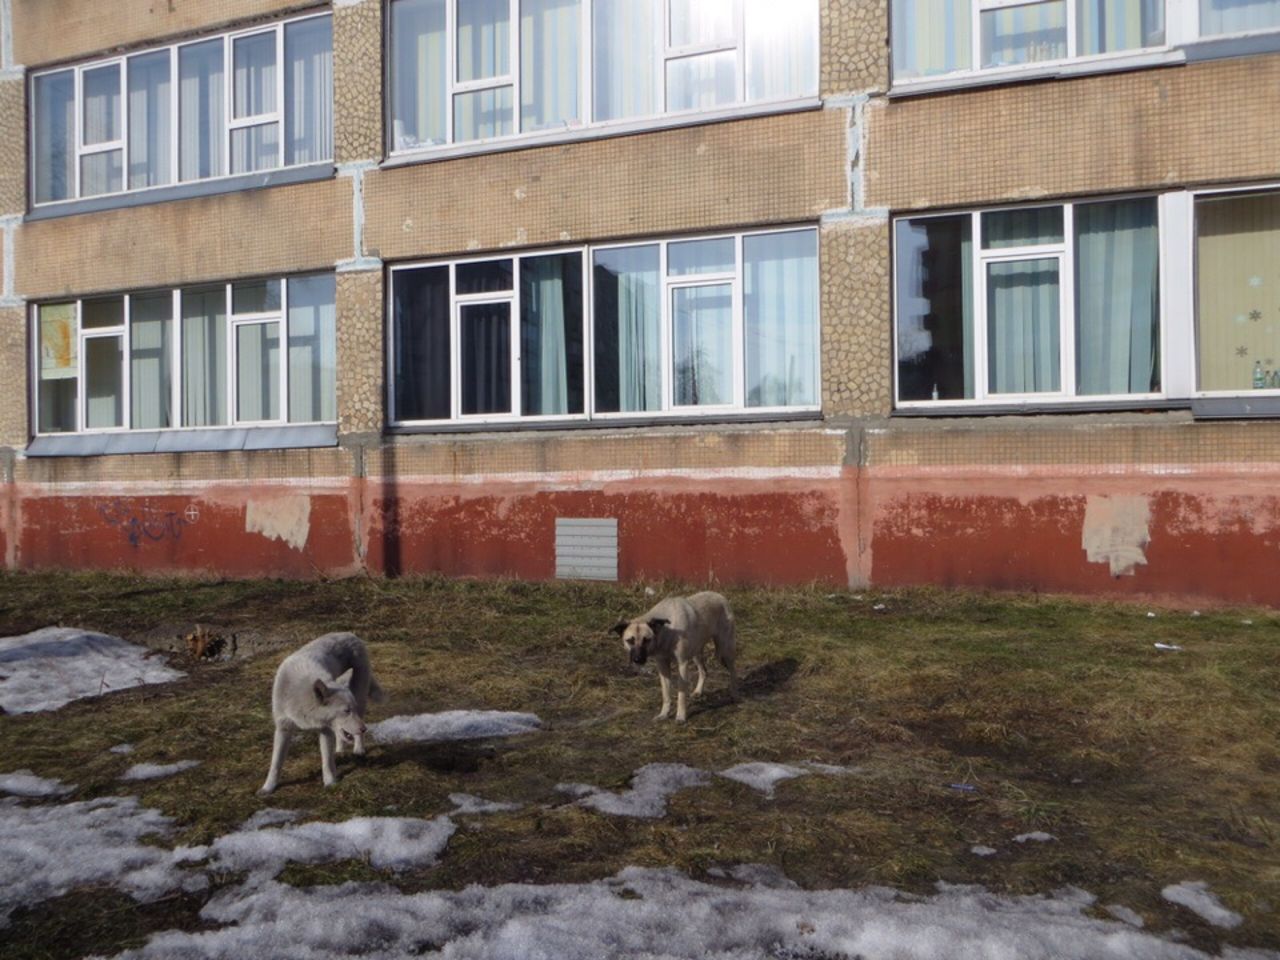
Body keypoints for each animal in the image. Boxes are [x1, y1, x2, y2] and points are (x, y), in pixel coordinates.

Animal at [257, 632, 381, 798]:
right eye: (346, 711)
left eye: (351, 709)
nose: (365, 729)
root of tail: (351, 634)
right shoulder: (283, 728)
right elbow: (275, 763)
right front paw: (268, 788)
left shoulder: (325, 730)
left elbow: (326, 761)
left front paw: (331, 784)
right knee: (340, 737)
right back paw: (340, 751)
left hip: (361, 700)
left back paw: (358, 750)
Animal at [611, 591, 742, 727]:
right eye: (629, 641)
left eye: (646, 640)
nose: (637, 660)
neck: (666, 632)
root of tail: (720, 596)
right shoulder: (662, 666)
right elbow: (666, 694)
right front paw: (664, 714)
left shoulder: (682, 664)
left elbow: (681, 694)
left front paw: (680, 716)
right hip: (696, 653)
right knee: (704, 671)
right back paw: (698, 691)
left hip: (724, 652)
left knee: (733, 671)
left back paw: (735, 695)